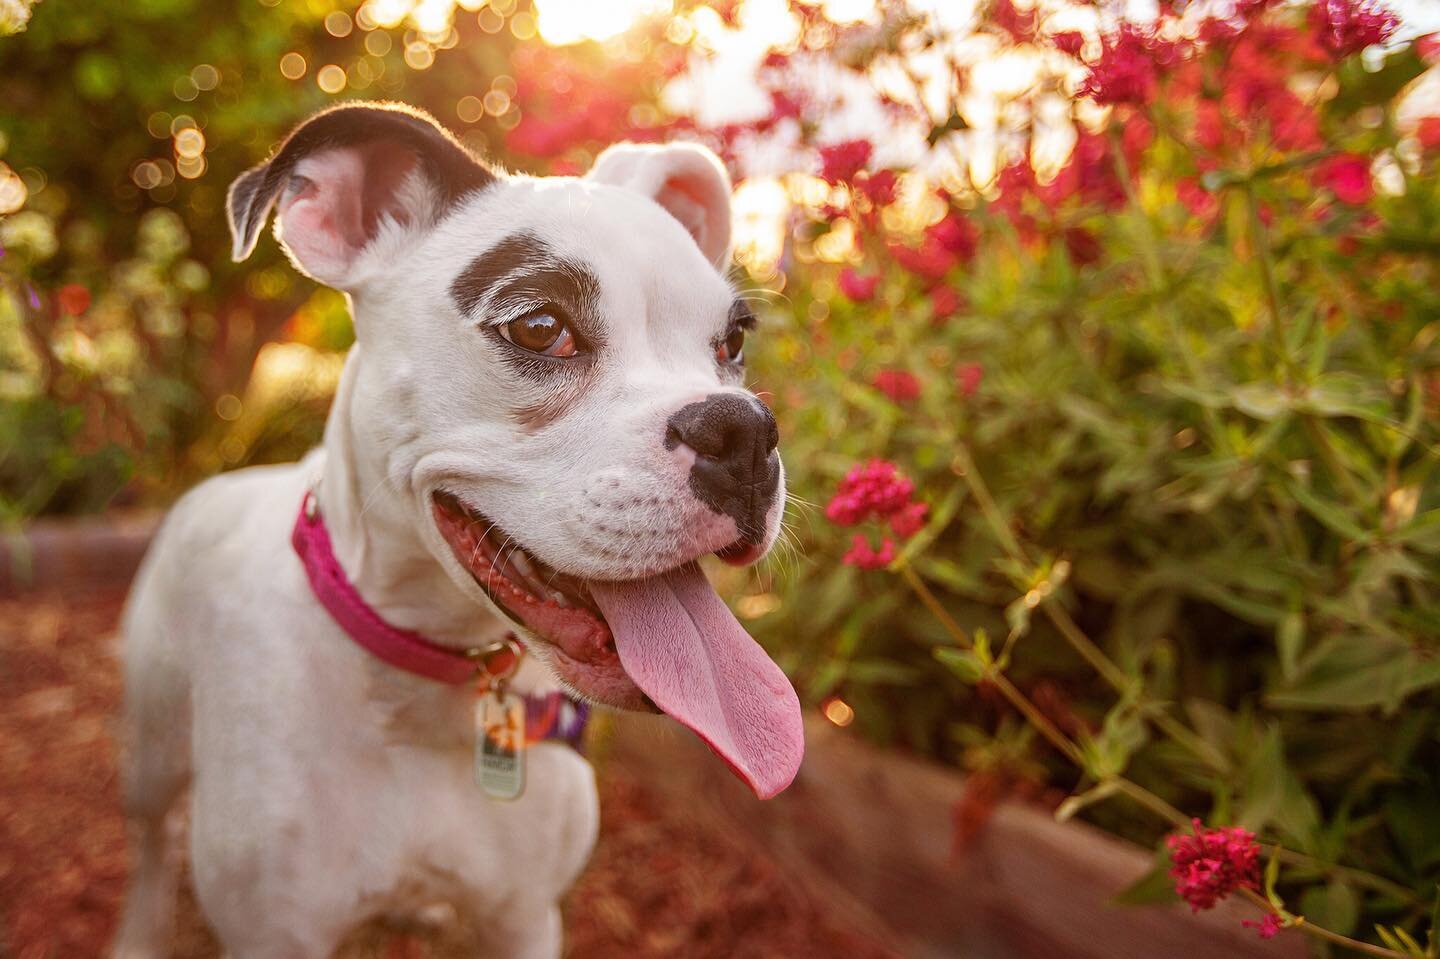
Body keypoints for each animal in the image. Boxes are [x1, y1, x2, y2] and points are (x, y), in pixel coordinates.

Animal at [112, 100, 806, 950]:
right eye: (540, 328)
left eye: (733, 340)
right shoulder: (274, 933)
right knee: (150, 836)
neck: (422, 685)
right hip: (151, 746)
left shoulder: (523, 921)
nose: (744, 432)